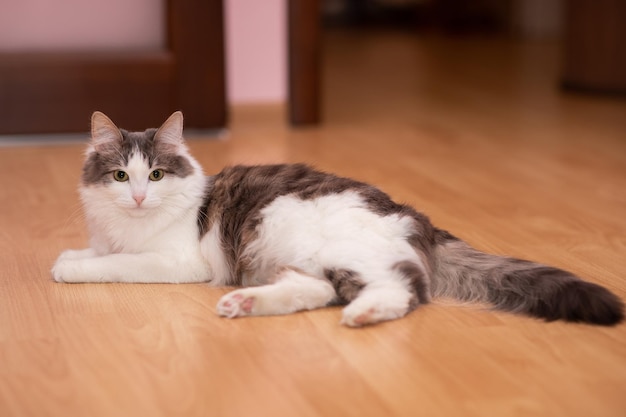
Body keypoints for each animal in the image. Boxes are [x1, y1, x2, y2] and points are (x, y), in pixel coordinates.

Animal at [51, 112, 620, 326]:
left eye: (157, 175)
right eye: (121, 176)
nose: (139, 197)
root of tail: (417, 218)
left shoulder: (176, 260)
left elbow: (114, 264)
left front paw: (70, 268)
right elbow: (100, 250)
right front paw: (69, 255)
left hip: (326, 240)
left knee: (401, 290)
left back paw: (364, 314)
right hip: (299, 252)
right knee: (320, 290)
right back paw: (245, 303)